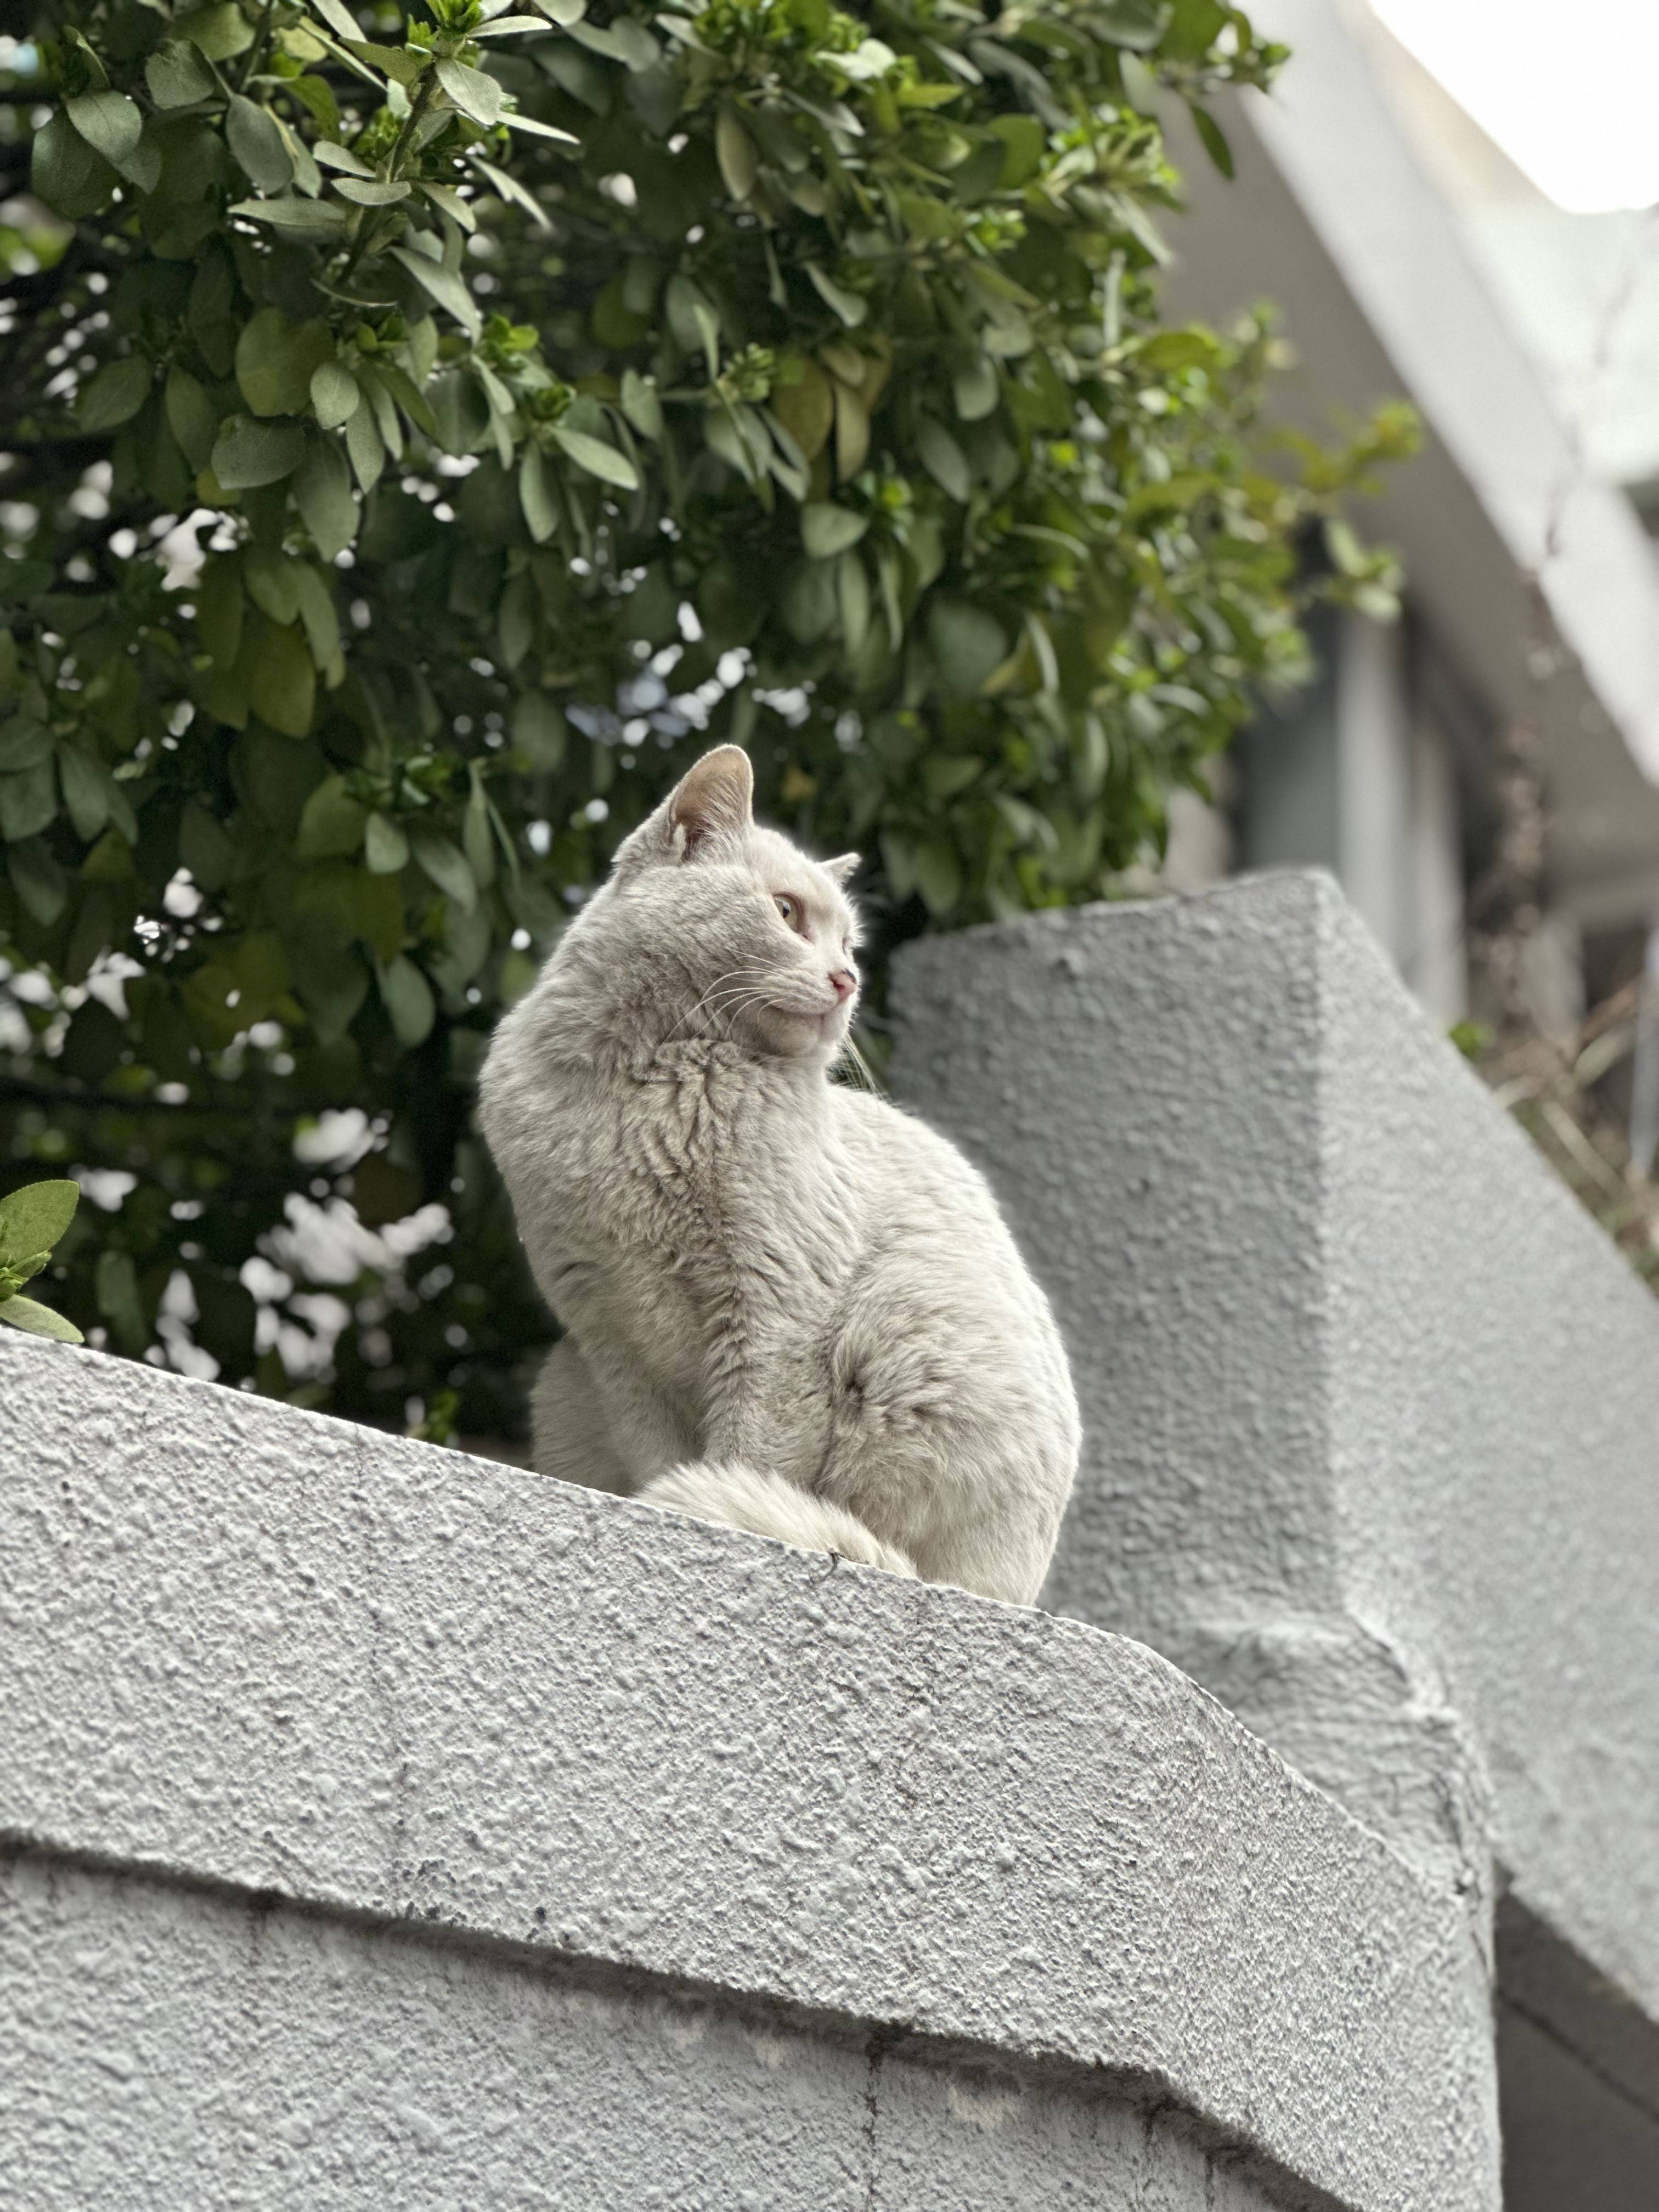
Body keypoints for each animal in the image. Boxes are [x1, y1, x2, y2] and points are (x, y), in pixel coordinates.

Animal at [473, 747, 1084, 1610]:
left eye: (851, 945)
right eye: (789, 914)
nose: (847, 980)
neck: (644, 1088)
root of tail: (1011, 1597)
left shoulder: (777, 1314)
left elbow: (750, 1455)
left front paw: (719, 1510)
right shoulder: (607, 1331)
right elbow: (659, 1451)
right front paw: (668, 1503)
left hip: (904, 1326)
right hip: (565, 1380)